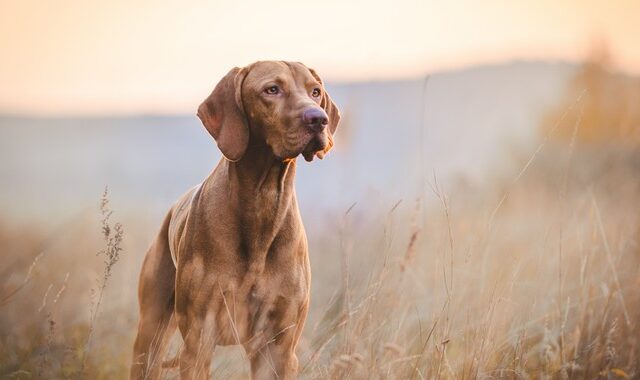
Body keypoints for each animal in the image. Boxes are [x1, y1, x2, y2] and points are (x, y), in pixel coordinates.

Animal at [129, 60, 340, 378]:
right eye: (272, 89)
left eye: (315, 92)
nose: (319, 119)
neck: (262, 202)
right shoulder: (199, 342)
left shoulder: (279, 348)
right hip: (149, 337)